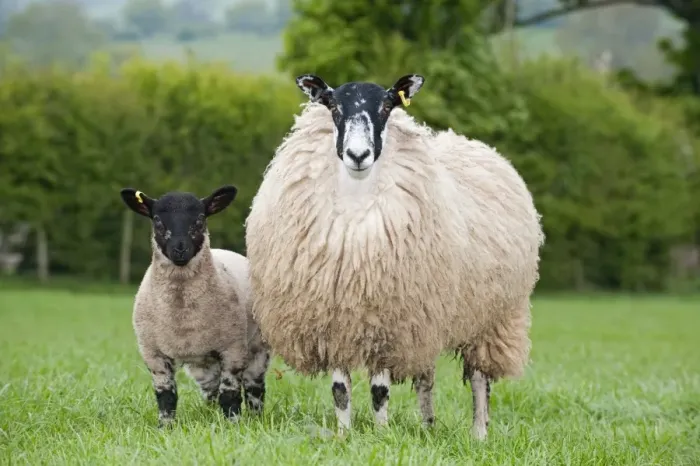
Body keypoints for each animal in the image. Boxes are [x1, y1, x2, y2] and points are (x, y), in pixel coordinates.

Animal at [120, 185, 270, 427]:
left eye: (200, 219)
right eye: (157, 221)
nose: (180, 249)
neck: (182, 314)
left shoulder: (233, 349)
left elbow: (230, 394)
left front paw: (233, 424)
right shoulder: (153, 354)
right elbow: (166, 396)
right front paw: (165, 427)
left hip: (257, 347)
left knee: (253, 387)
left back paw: (256, 417)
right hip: (204, 362)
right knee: (211, 389)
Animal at [244, 74, 545, 439]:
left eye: (387, 107)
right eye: (334, 107)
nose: (358, 154)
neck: (357, 204)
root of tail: (477, 146)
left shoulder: (389, 324)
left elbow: (379, 390)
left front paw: (381, 434)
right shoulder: (335, 320)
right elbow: (340, 390)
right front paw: (344, 435)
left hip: (492, 318)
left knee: (479, 380)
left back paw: (479, 434)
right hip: (428, 319)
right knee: (426, 378)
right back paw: (428, 427)